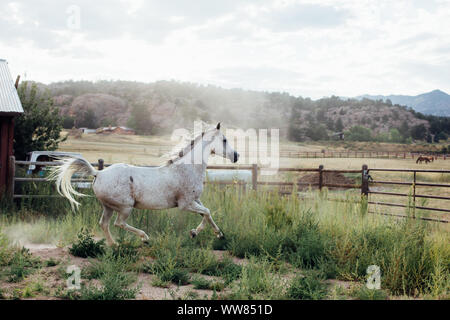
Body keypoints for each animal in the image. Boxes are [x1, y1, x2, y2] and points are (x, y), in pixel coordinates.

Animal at [49, 122, 239, 245]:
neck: (188, 167)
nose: (236, 156)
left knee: (104, 224)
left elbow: (207, 214)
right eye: (224, 140)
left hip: (108, 207)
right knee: (119, 223)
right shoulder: (185, 204)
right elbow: (206, 212)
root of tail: (98, 173)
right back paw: (144, 238)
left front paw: (217, 234)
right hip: (125, 207)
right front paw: (195, 233)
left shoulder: (195, 200)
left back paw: (114, 245)